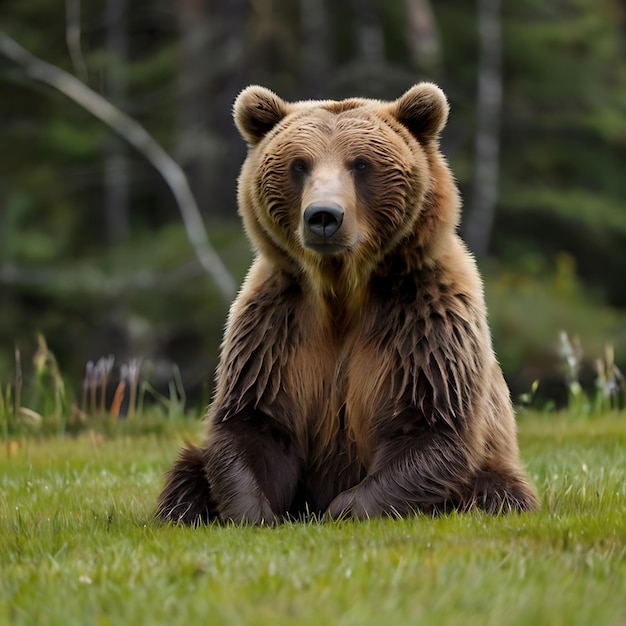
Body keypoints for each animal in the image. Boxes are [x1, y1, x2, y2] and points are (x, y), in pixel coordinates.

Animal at [155, 81, 536, 520]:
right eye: (299, 164)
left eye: (361, 164)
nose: (324, 216)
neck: (341, 288)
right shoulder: (276, 326)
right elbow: (254, 422)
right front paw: (256, 513)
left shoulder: (425, 321)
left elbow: (431, 424)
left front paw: (341, 509)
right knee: (186, 471)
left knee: (497, 492)